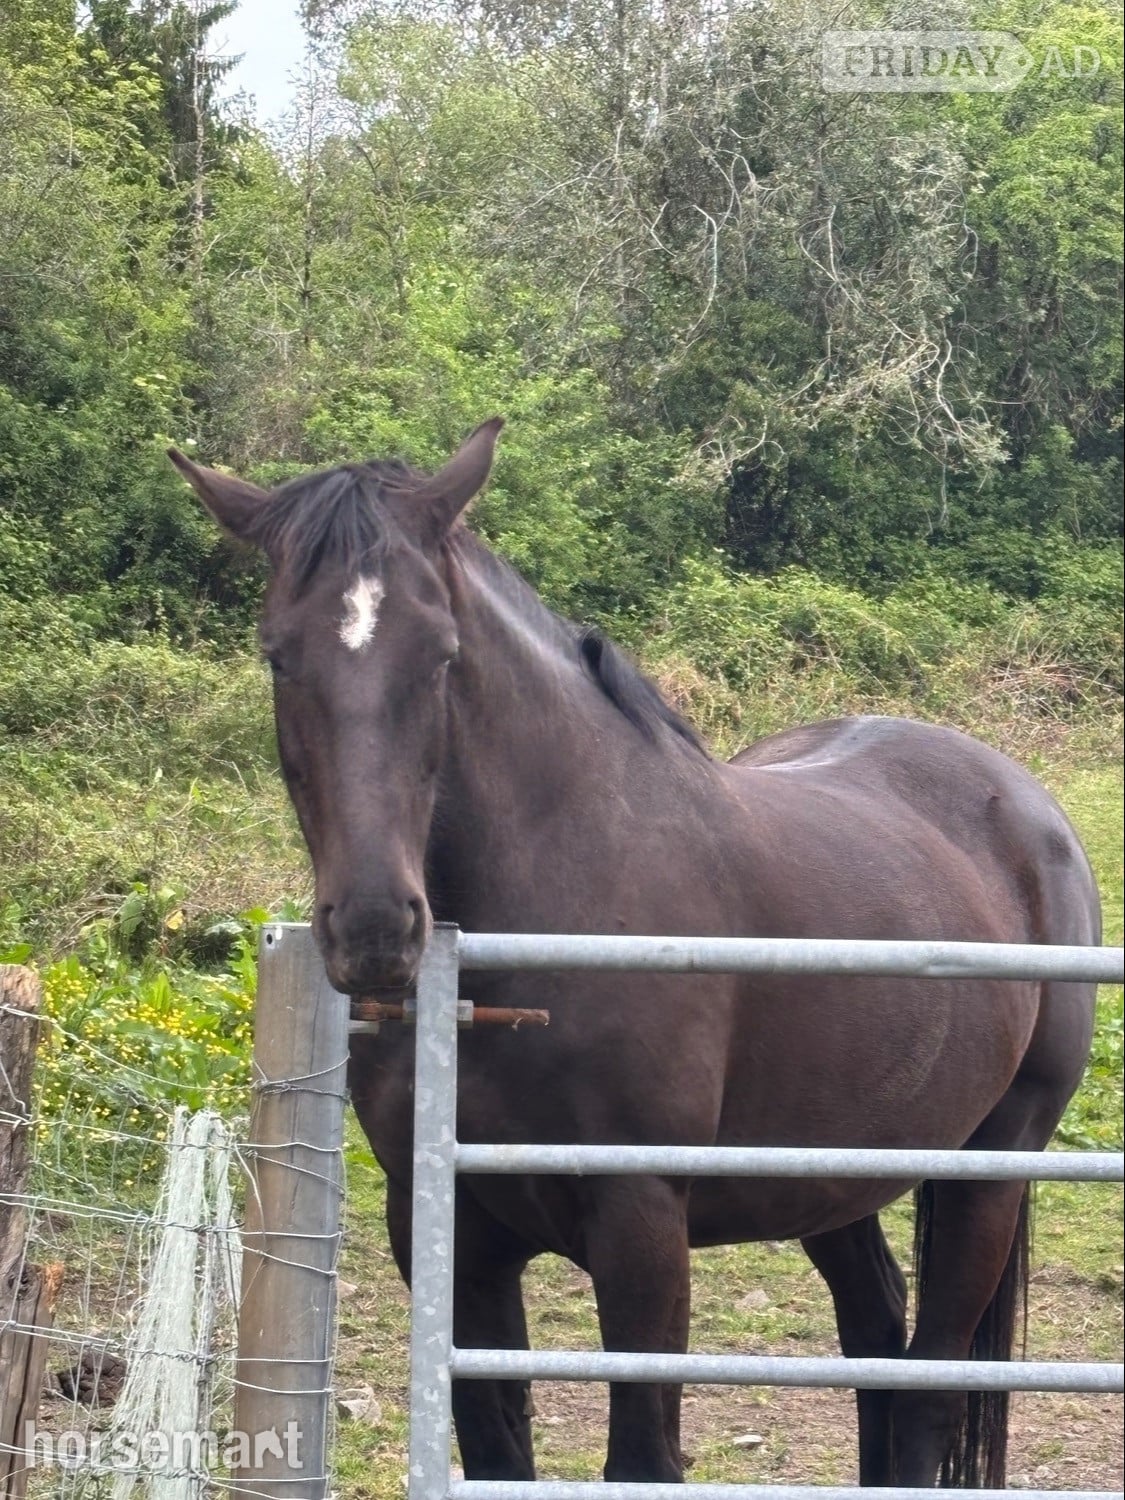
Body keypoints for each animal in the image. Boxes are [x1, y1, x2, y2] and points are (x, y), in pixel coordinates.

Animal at [170, 420, 1100, 1486]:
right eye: (278, 657)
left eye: (442, 654)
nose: (373, 930)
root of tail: (1025, 807)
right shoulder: (451, 1237)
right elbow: (498, 1452)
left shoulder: (641, 1228)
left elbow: (642, 1458)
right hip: (833, 1180)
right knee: (877, 1338)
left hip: (991, 1168)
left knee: (928, 1389)